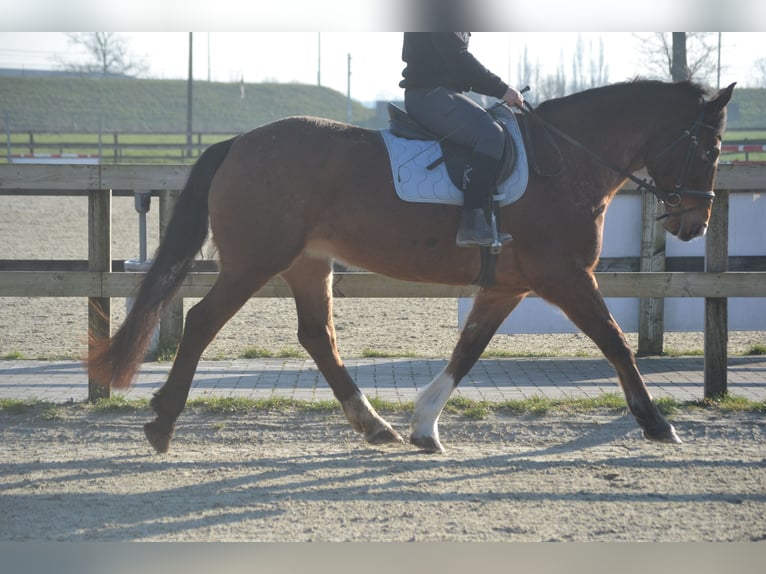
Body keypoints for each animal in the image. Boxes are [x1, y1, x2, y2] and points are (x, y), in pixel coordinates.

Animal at [88, 80, 736, 454]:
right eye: (710, 148)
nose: (694, 224)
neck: (568, 159)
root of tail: (240, 142)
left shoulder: (508, 286)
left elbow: (468, 351)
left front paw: (426, 426)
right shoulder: (566, 276)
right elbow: (616, 341)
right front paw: (656, 422)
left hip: (308, 264)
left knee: (317, 336)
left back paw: (376, 425)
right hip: (255, 261)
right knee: (202, 322)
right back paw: (162, 424)